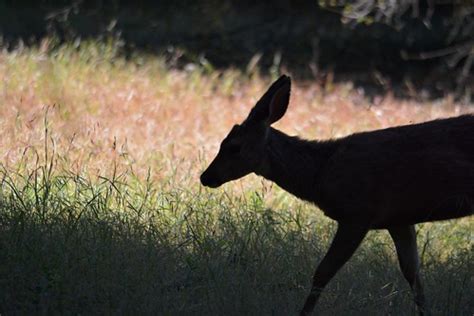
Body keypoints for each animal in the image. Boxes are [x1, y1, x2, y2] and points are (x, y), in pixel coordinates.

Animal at [198, 75, 472, 314]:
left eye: (234, 147)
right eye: (222, 143)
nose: (206, 177)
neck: (319, 172)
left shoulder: (358, 214)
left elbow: (322, 272)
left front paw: (304, 312)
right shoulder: (399, 219)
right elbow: (412, 274)